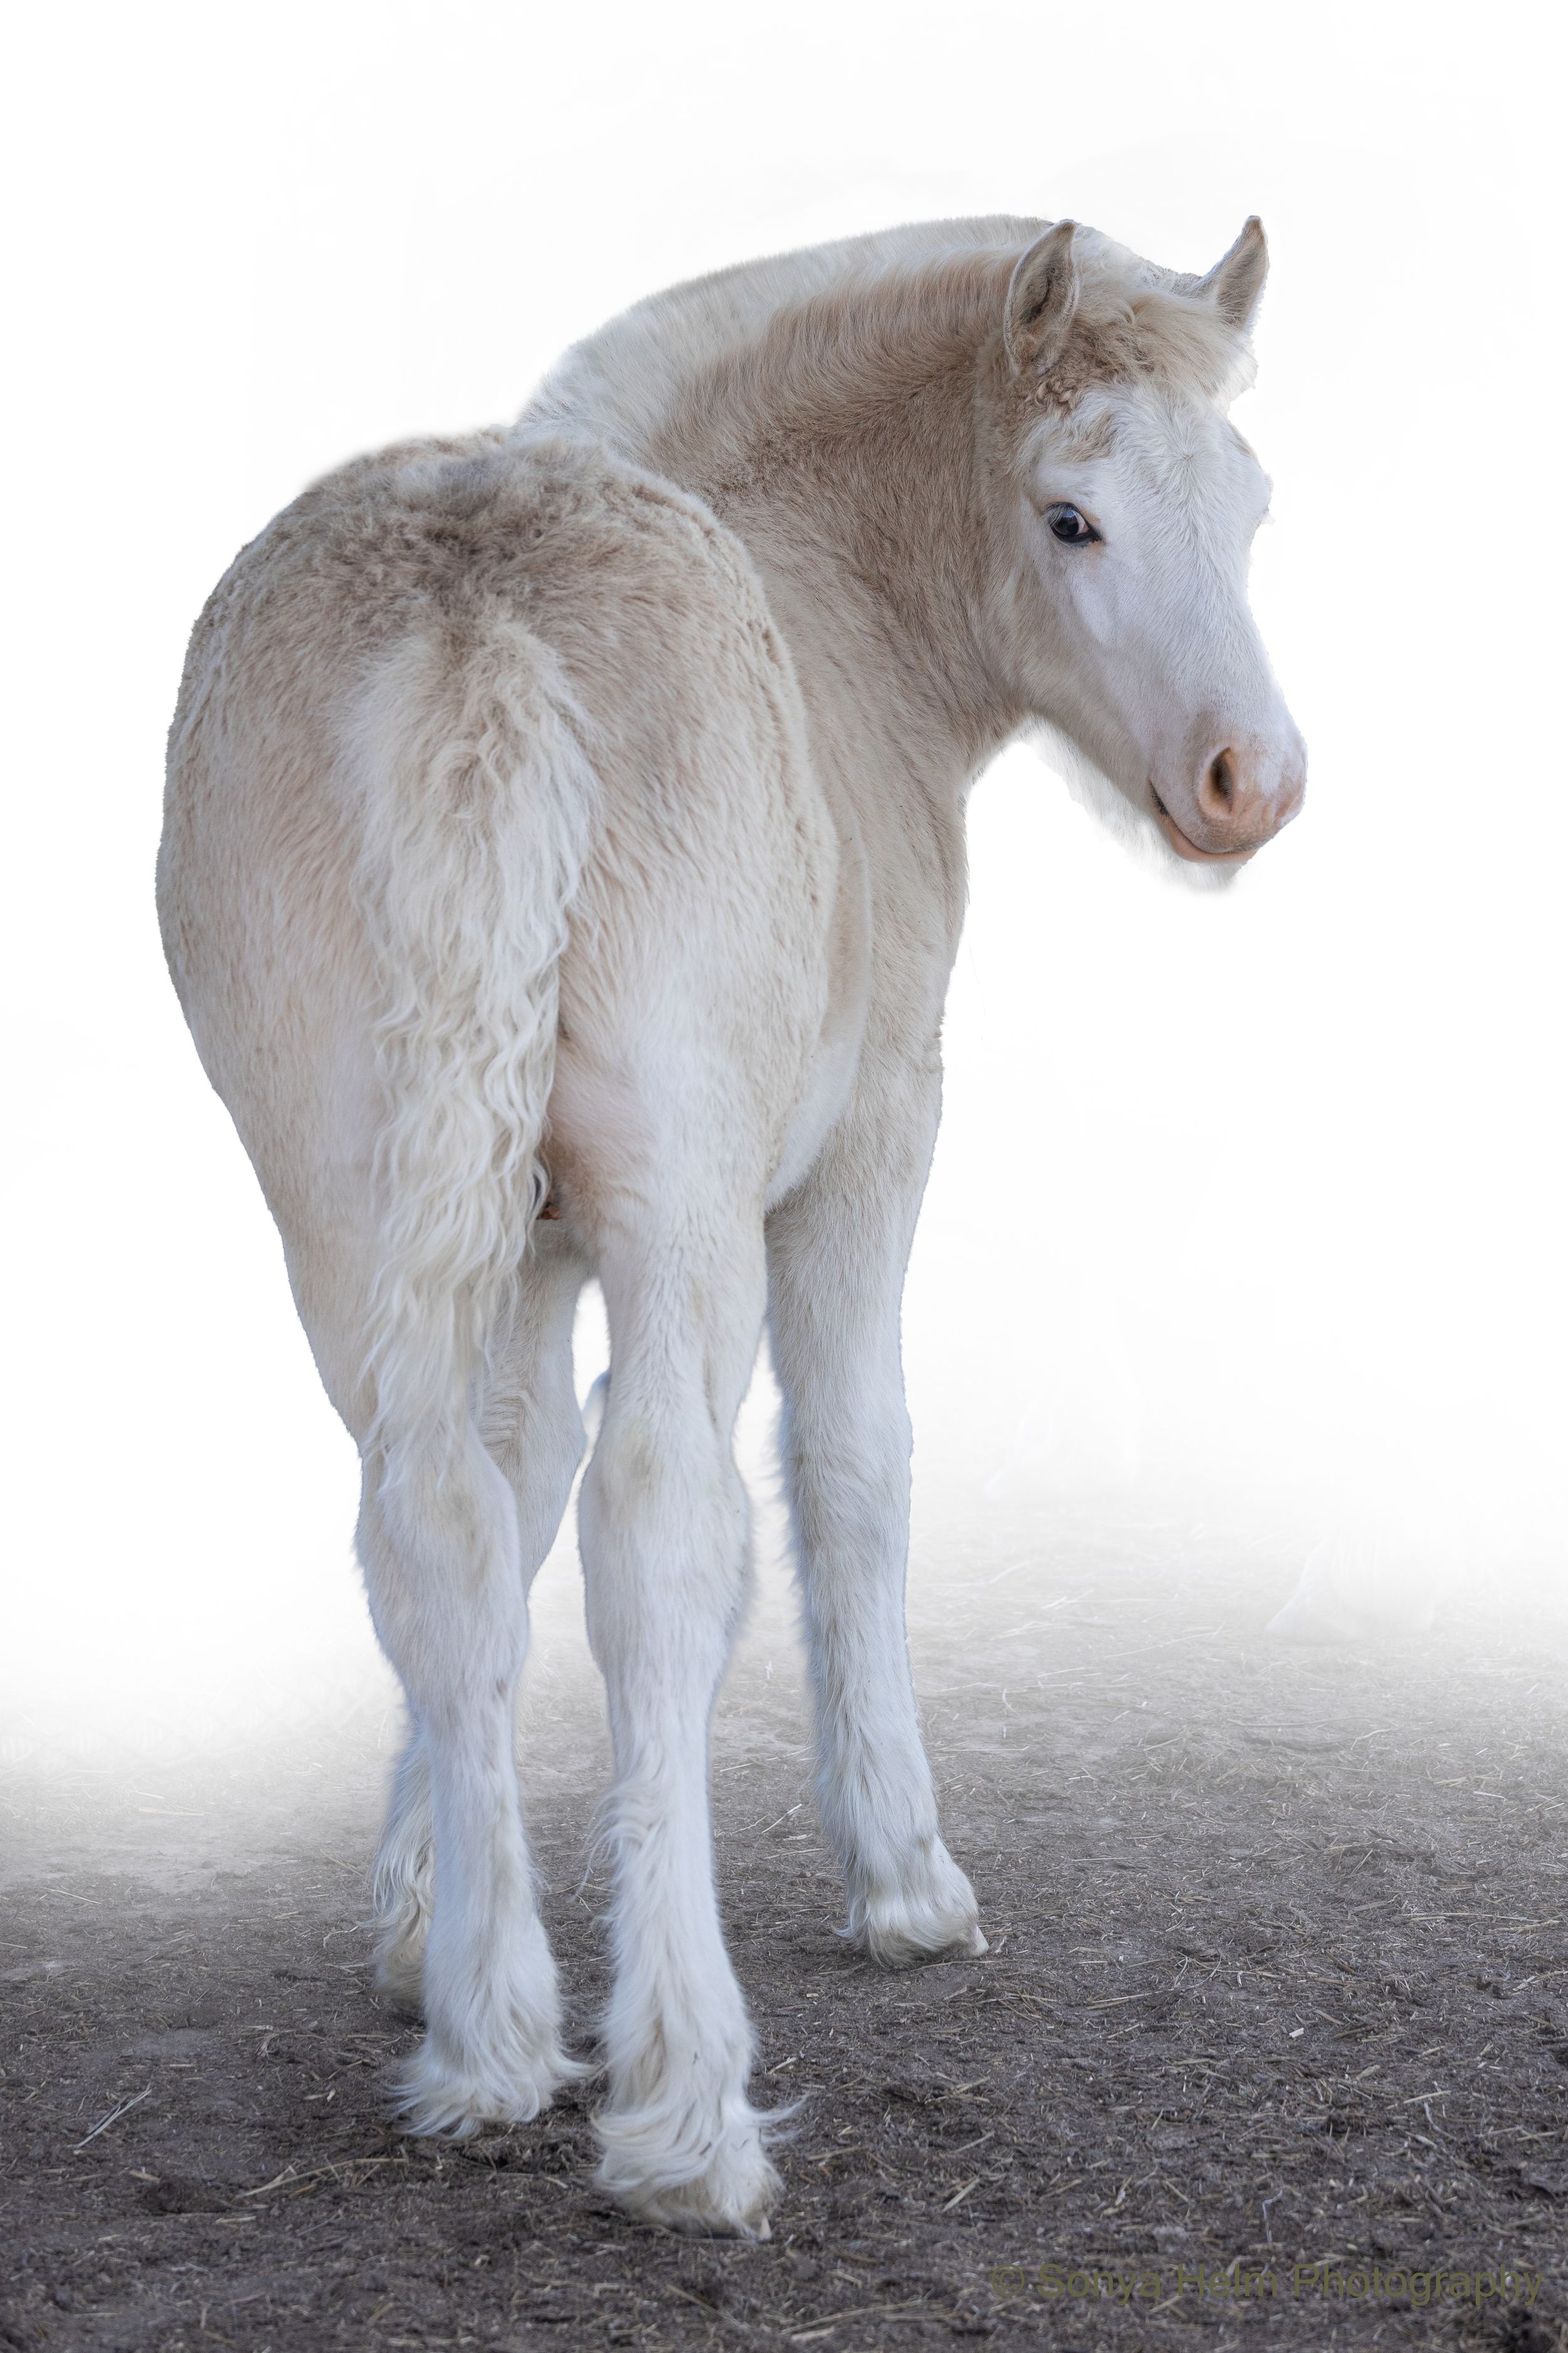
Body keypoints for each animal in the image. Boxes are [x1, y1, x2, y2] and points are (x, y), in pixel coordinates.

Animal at [157, 212, 1305, 2236]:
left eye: (1244, 497)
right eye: (1071, 515)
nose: (1250, 779)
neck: (823, 592)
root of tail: (477, 616)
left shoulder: (513, 1239)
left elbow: (503, 1494)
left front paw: (425, 1918)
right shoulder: (864, 1139)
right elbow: (846, 1462)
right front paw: (904, 1874)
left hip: (344, 1201)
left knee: (425, 1516)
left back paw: (487, 2046)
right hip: (681, 1196)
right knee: (657, 1533)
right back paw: (685, 2101)